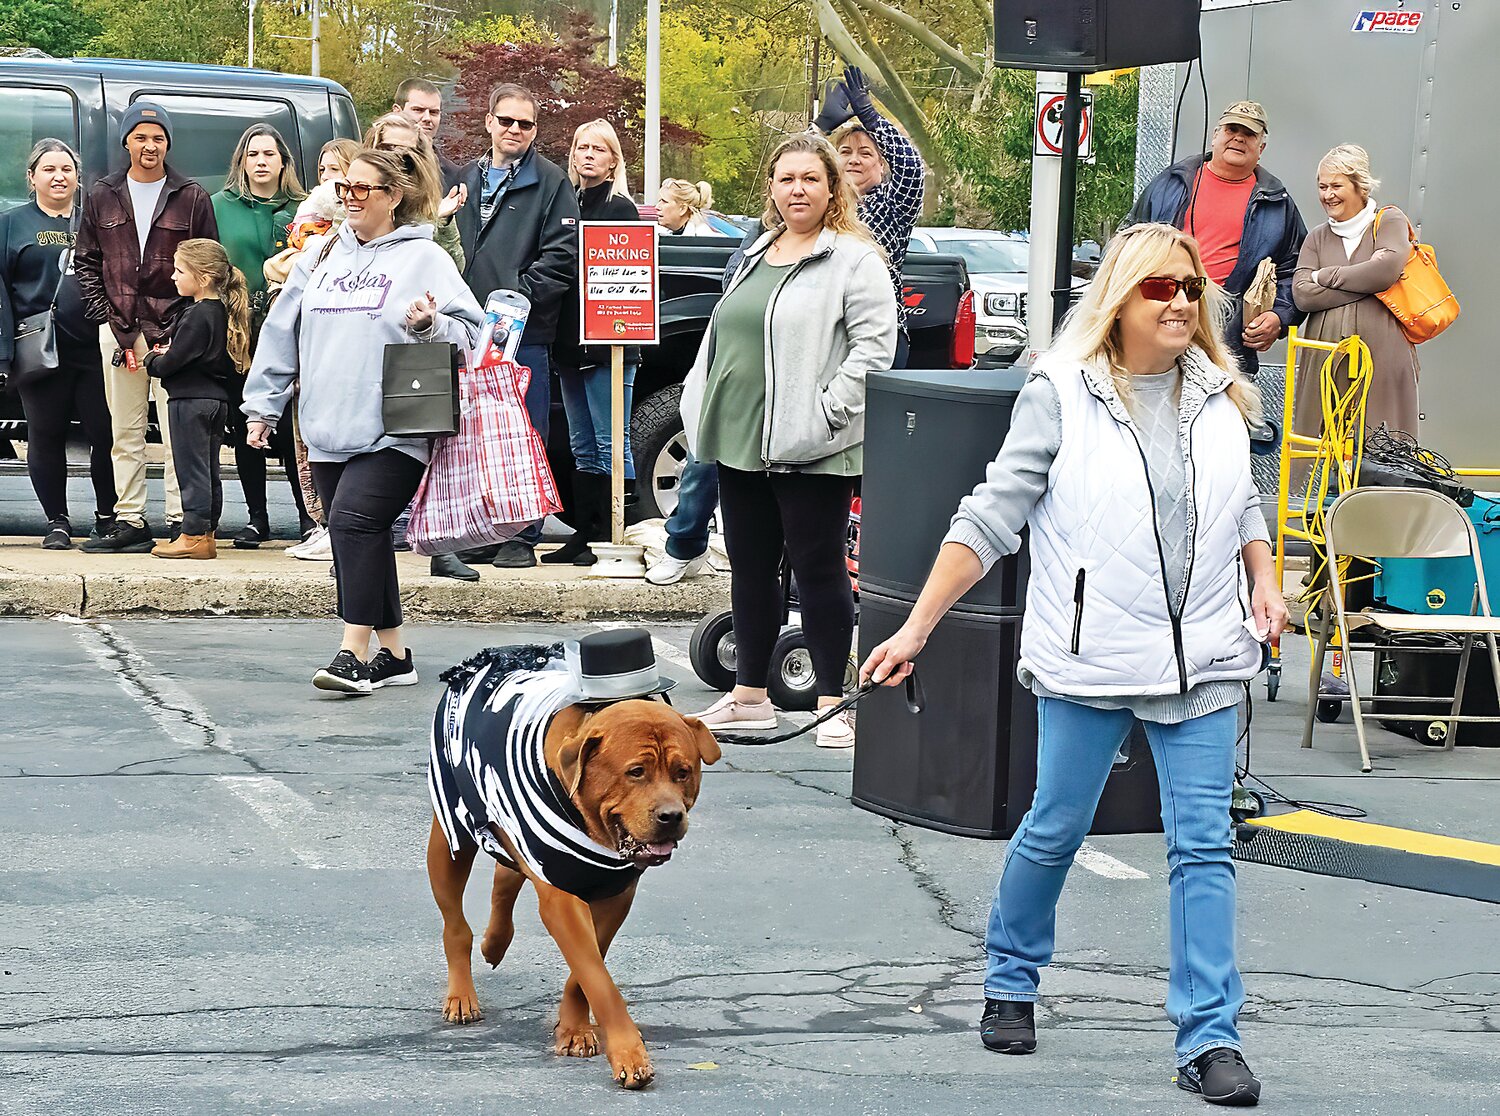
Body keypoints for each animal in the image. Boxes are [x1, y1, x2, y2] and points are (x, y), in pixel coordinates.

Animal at [426, 681, 723, 1092]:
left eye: (683, 772)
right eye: (636, 772)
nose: (671, 816)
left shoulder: (615, 895)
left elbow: (584, 973)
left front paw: (575, 1029)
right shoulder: (562, 898)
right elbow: (598, 979)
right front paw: (630, 1055)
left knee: (507, 875)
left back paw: (495, 942)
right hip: (449, 838)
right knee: (455, 921)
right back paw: (461, 994)